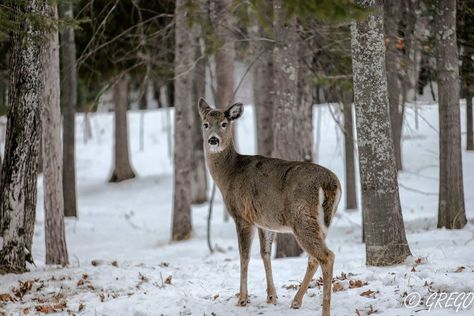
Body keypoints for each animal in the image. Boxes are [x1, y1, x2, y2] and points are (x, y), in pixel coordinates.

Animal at [199, 97, 340, 314]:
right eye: (205, 124)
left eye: (224, 123)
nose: (213, 140)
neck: (229, 174)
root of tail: (330, 183)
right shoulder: (265, 221)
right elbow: (265, 254)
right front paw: (272, 296)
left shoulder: (242, 215)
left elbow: (244, 256)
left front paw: (242, 299)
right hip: (324, 220)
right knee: (314, 258)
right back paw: (296, 301)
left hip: (301, 217)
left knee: (326, 256)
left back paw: (323, 310)